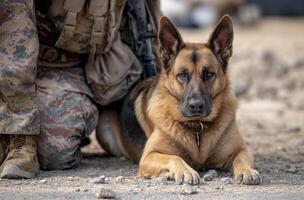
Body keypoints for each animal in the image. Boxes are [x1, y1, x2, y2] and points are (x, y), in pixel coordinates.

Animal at [98, 15, 260, 186]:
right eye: (182, 75)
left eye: (209, 74)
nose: (196, 106)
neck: (197, 129)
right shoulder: (149, 156)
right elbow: (175, 157)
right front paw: (185, 171)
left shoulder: (241, 150)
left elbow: (241, 159)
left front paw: (247, 170)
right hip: (103, 126)